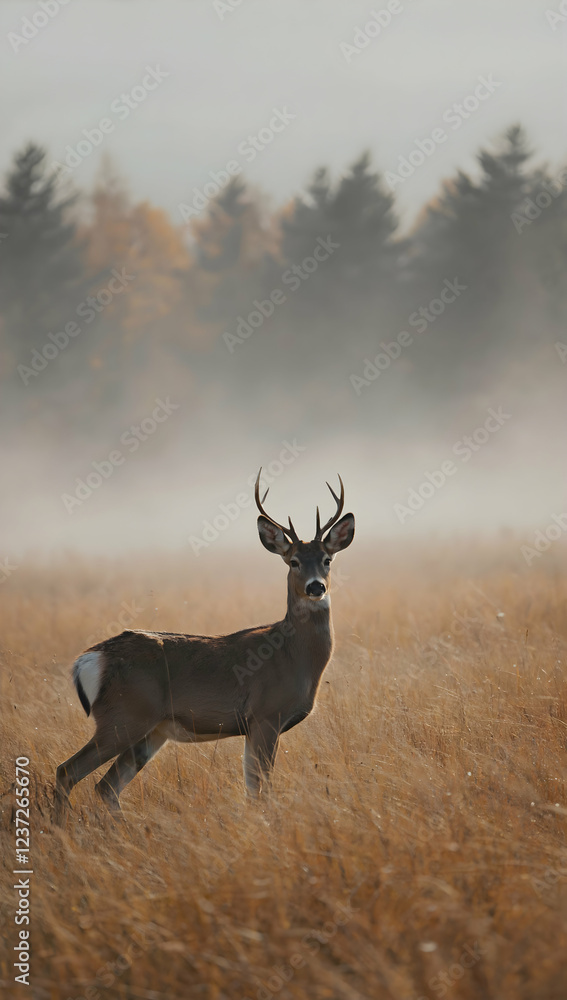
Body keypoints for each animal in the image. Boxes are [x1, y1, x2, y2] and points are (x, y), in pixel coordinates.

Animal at [54, 471, 354, 820]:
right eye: (293, 561)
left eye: (327, 560)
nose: (315, 587)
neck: (292, 656)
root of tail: (89, 658)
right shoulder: (265, 716)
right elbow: (261, 789)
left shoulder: (255, 726)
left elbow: (252, 788)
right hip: (123, 715)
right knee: (68, 771)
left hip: (150, 730)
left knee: (106, 786)